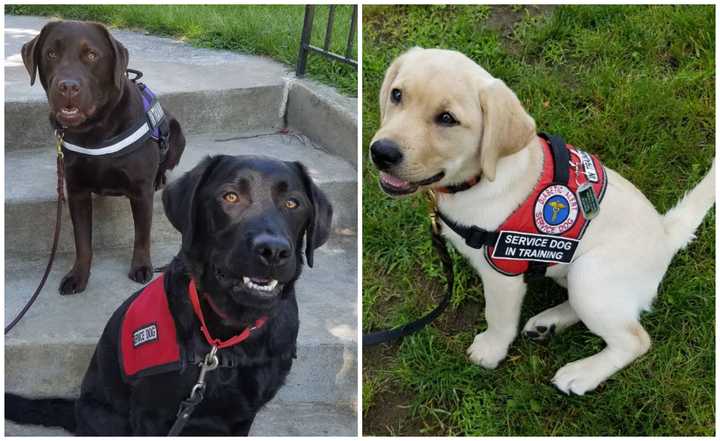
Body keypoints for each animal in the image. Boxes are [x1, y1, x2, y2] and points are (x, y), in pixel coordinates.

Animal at [372, 46, 716, 394]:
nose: (381, 152)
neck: (478, 180)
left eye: (447, 119)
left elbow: (498, 317)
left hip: (591, 274)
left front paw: (490, 350)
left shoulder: (503, 271)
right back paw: (546, 323)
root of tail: (665, 232)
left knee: (635, 339)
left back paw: (581, 373)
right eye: (397, 95)